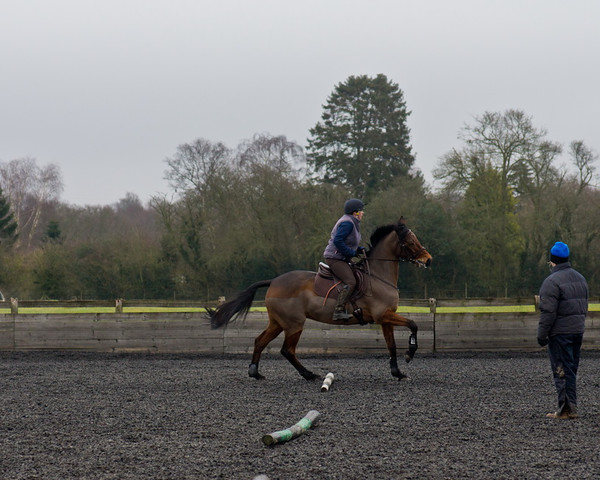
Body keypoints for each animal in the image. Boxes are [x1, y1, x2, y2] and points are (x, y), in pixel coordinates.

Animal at [209, 217, 434, 378]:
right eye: (410, 241)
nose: (428, 260)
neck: (378, 275)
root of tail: (273, 281)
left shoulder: (385, 318)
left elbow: (391, 345)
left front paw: (397, 372)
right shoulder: (383, 315)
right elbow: (413, 324)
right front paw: (409, 354)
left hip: (278, 322)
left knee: (259, 341)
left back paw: (255, 372)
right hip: (294, 324)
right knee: (287, 350)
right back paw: (309, 375)